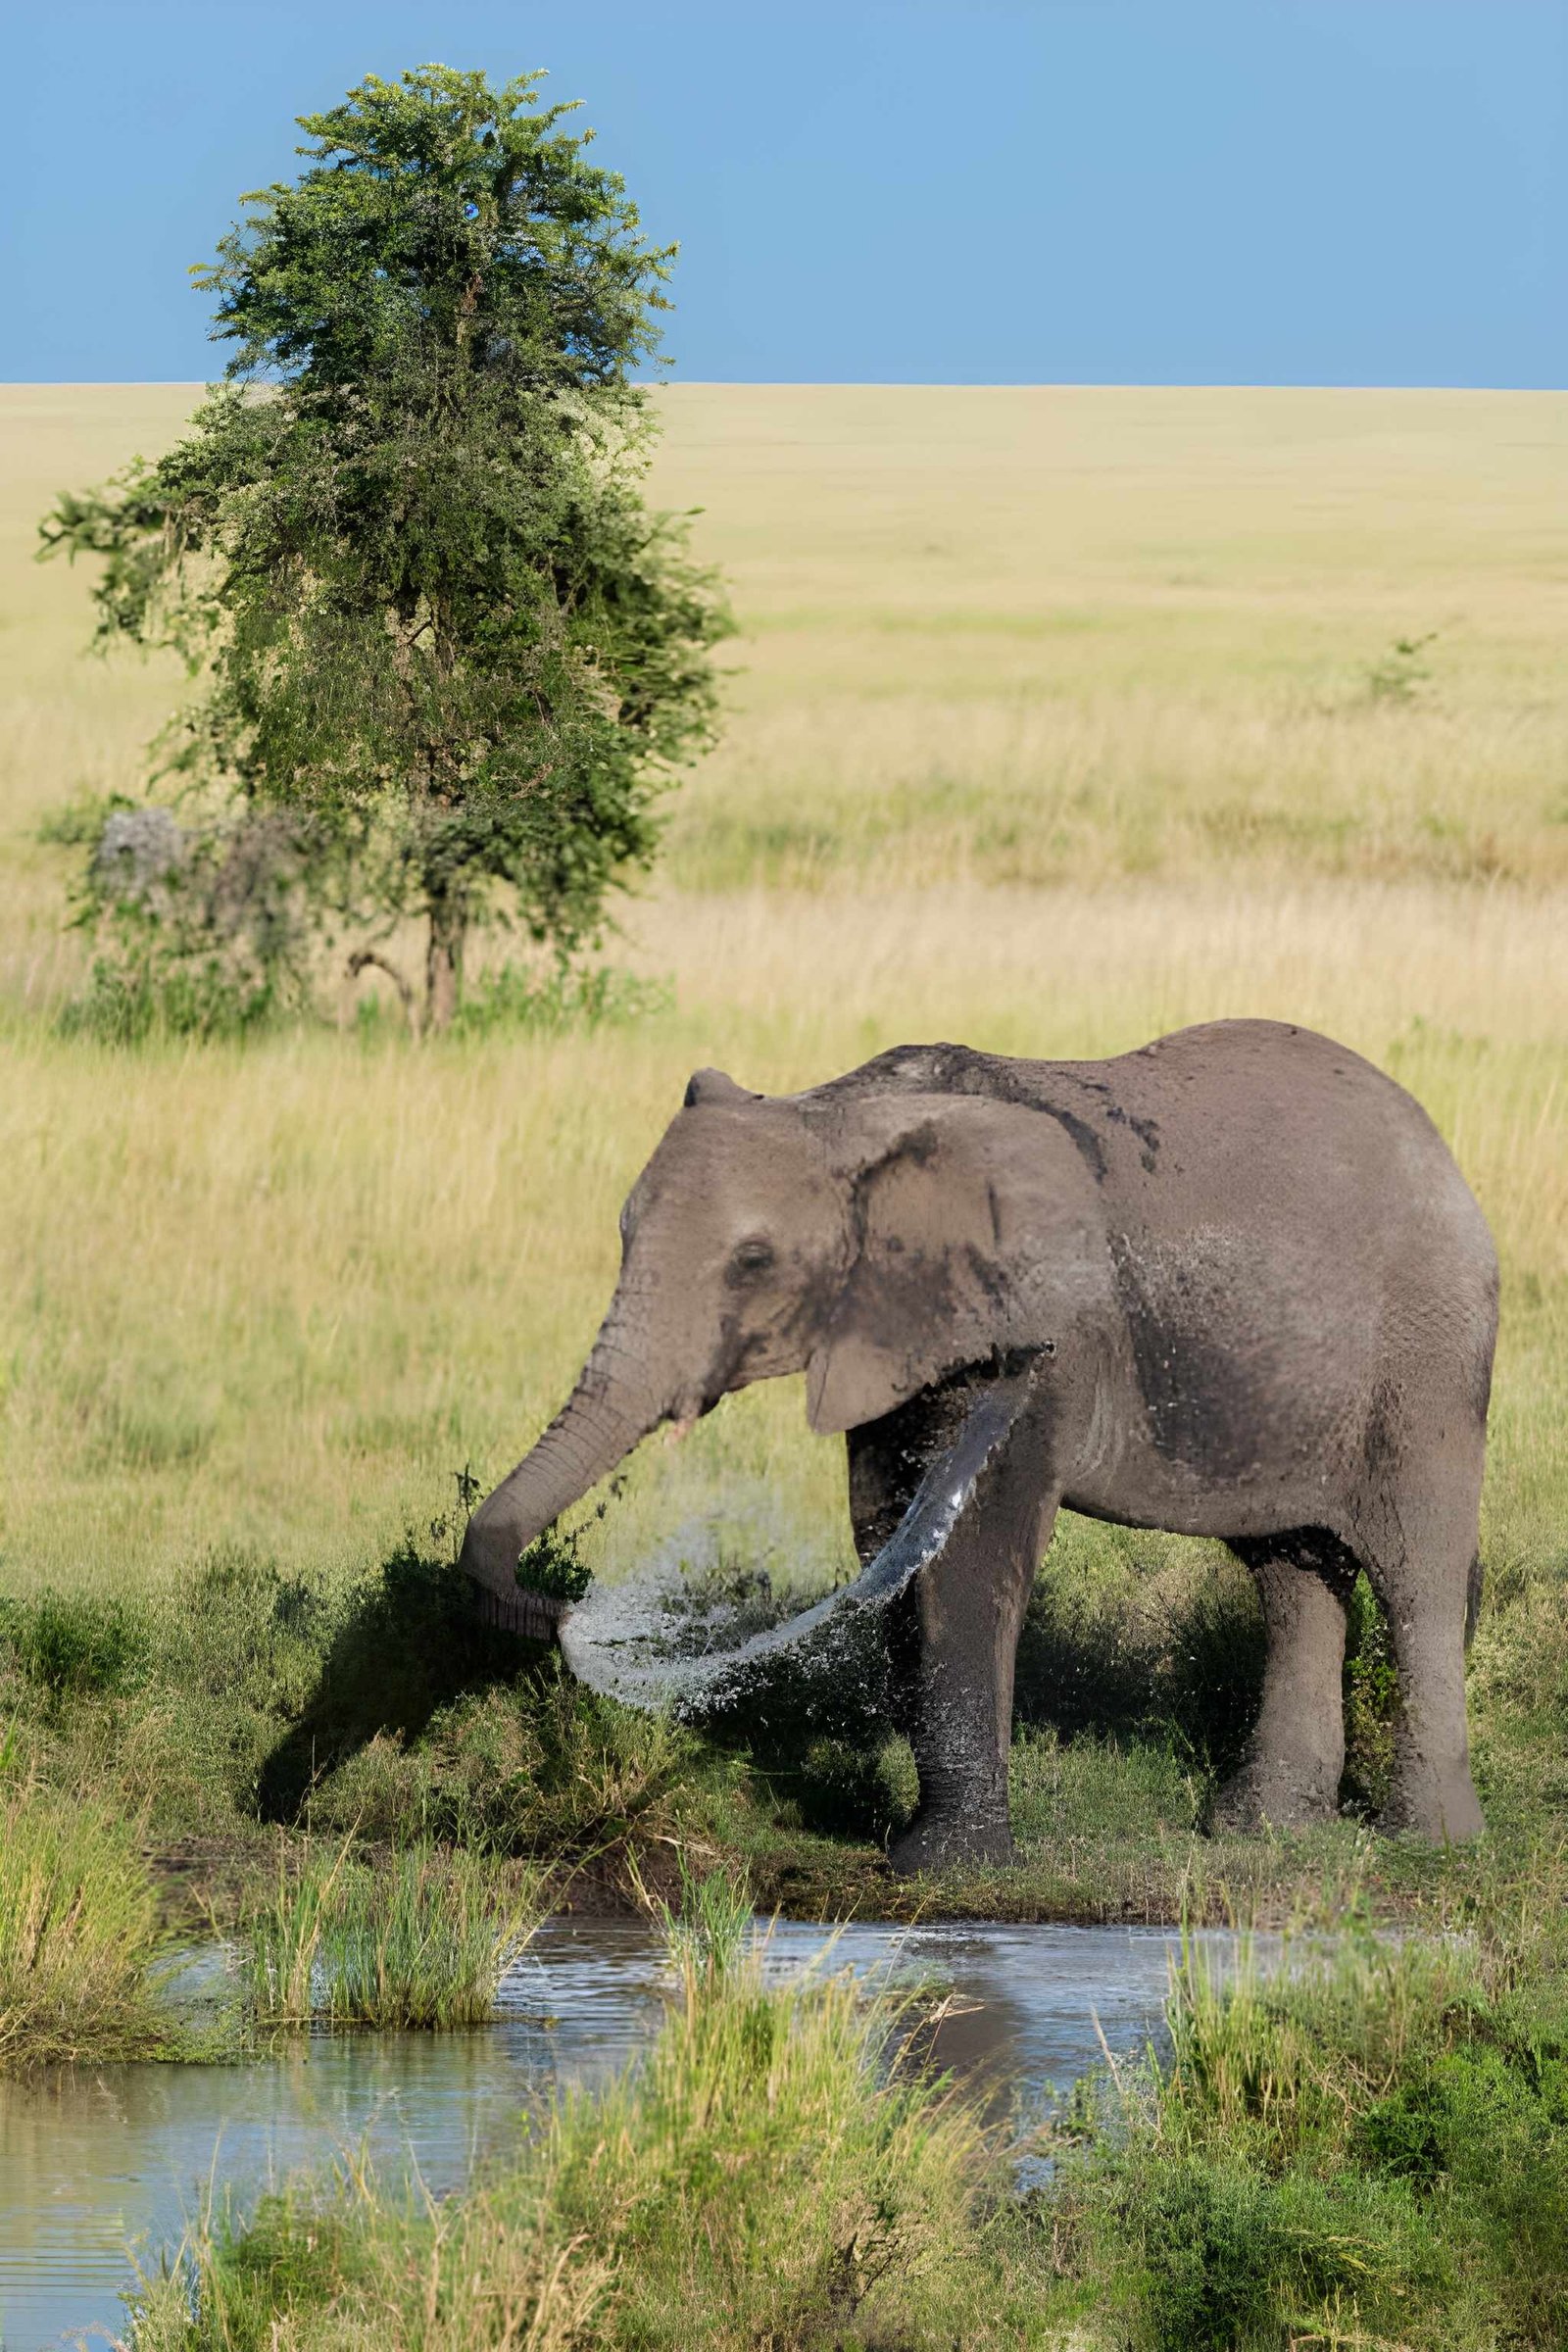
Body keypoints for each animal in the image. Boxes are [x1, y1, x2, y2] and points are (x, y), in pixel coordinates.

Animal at [460, 1019, 1496, 1869]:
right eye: (623, 1233)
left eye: (752, 1263)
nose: (555, 1607)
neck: (840, 1111)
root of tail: (1440, 1146)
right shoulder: (890, 1325)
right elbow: (885, 1528)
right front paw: (914, 1835)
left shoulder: (1039, 1328)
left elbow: (973, 1544)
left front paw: (946, 1869)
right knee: (1292, 1571)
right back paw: (1260, 1832)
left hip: (1430, 1363)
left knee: (1417, 1572)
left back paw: (1431, 1843)